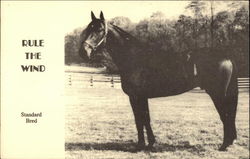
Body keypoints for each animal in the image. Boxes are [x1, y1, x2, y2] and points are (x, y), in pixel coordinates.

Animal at [78, 11, 238, 152]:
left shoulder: (135, 97)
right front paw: (150, 143)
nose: (83, 52)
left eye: (99, 29)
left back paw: (224, 145)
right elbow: (146, 119)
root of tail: (226, 56)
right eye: (88, 28)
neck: (135, 57)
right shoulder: (142, 97)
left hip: (217, 94)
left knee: (226, 115)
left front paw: (140, 146)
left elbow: (139, 120)